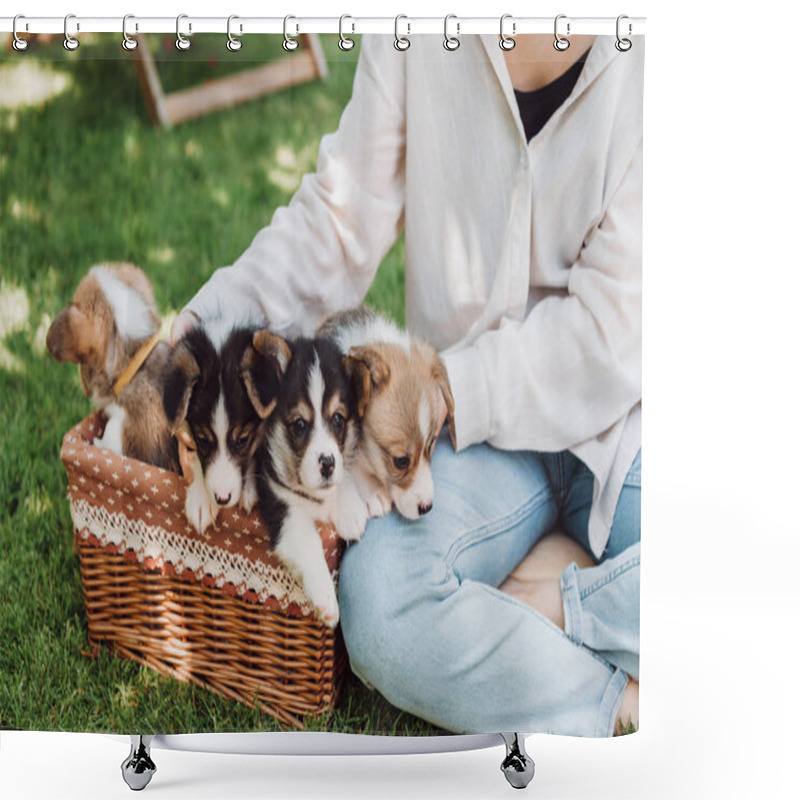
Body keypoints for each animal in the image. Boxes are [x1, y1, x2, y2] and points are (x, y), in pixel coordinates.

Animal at [162, 322, 262, 536]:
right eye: (203, 440)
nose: (222, 499)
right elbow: (194, 456)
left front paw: (249, 488)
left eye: (242, 440)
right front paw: (201, 501)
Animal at [241, 328, 368, 628]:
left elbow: (344, 472)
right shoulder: (283, 509)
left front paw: (351, 511)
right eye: (299, 424)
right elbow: (310, 543)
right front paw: (326, 599)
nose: (327, 464)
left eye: (338, 419)